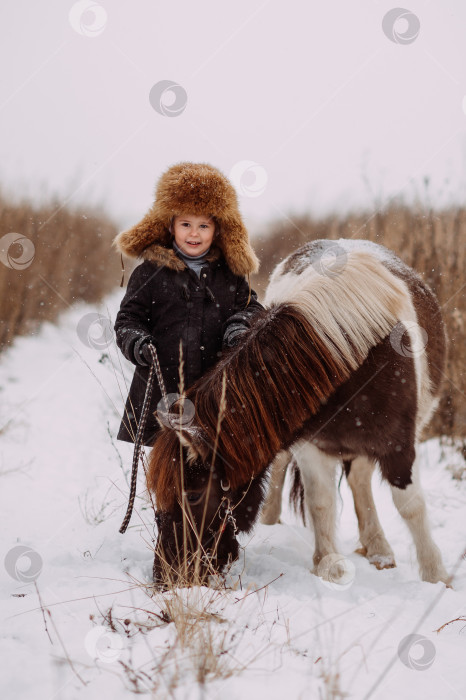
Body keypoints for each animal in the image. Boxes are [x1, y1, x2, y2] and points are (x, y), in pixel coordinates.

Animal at [147, 239, 450, 584]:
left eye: (194, 494)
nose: (166, 576)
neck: (346, 354)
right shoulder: (310, 443)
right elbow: (321, 502)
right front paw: (329, 566)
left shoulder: (399, 445)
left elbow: (410, 505)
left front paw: (436, 575)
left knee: (361, 480)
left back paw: (379, 551)